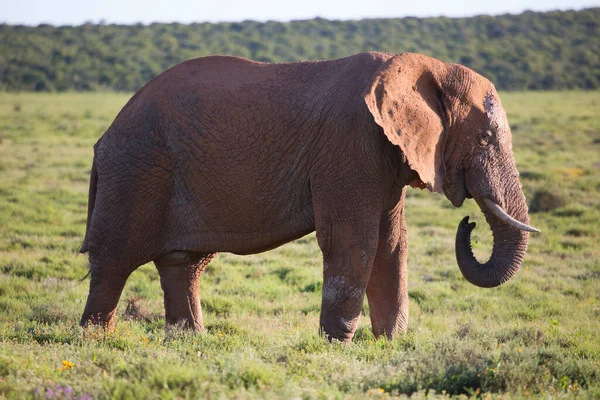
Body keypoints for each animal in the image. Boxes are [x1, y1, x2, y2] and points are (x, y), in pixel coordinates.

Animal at [78, 51, 540, 342]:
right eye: (484, 139)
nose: (470, 222)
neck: (427, 67)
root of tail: (105, 136)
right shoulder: (349, 145)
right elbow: (355, 241)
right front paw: (337, 345)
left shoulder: (383, 154)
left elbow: (392, 243)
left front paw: (390, 344)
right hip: (137, 170)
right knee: (114, 261)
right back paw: (97, 339)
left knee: (183, 263)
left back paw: (189, 341)